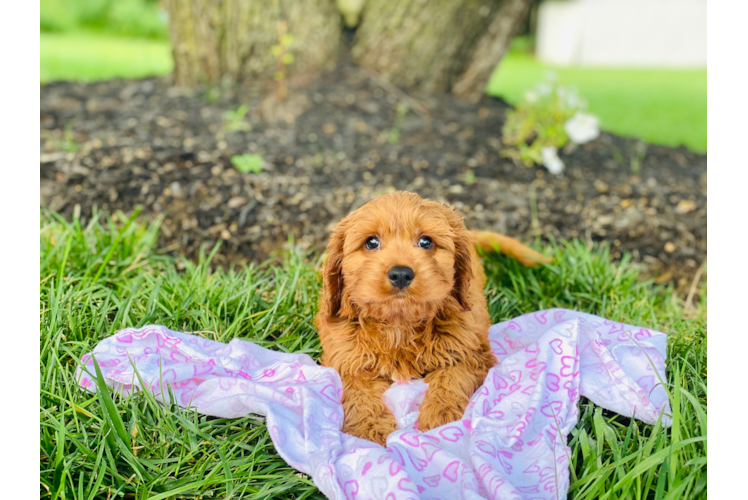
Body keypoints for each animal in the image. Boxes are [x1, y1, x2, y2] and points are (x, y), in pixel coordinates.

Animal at [316, 191, 548, 446]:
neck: (400, 325)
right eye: (371, 242)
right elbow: (357, 394)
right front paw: (370, 431)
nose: (401, 274)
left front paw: (440, 419)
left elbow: (452, 378)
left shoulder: (469, 352)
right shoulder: (345, 360)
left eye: (425, 242)